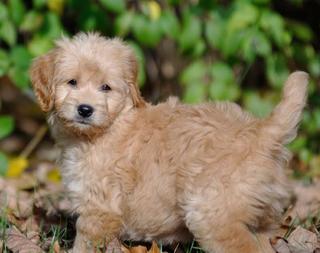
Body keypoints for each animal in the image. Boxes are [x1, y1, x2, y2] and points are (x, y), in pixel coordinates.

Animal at [30, 32, 308, 252]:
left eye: (105, 87)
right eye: (72, 82)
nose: (85, 109)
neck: (108, 127)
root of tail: (261, 131)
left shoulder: (100, 209)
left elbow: (84, 243)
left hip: (213, 214)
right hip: (262, 217)